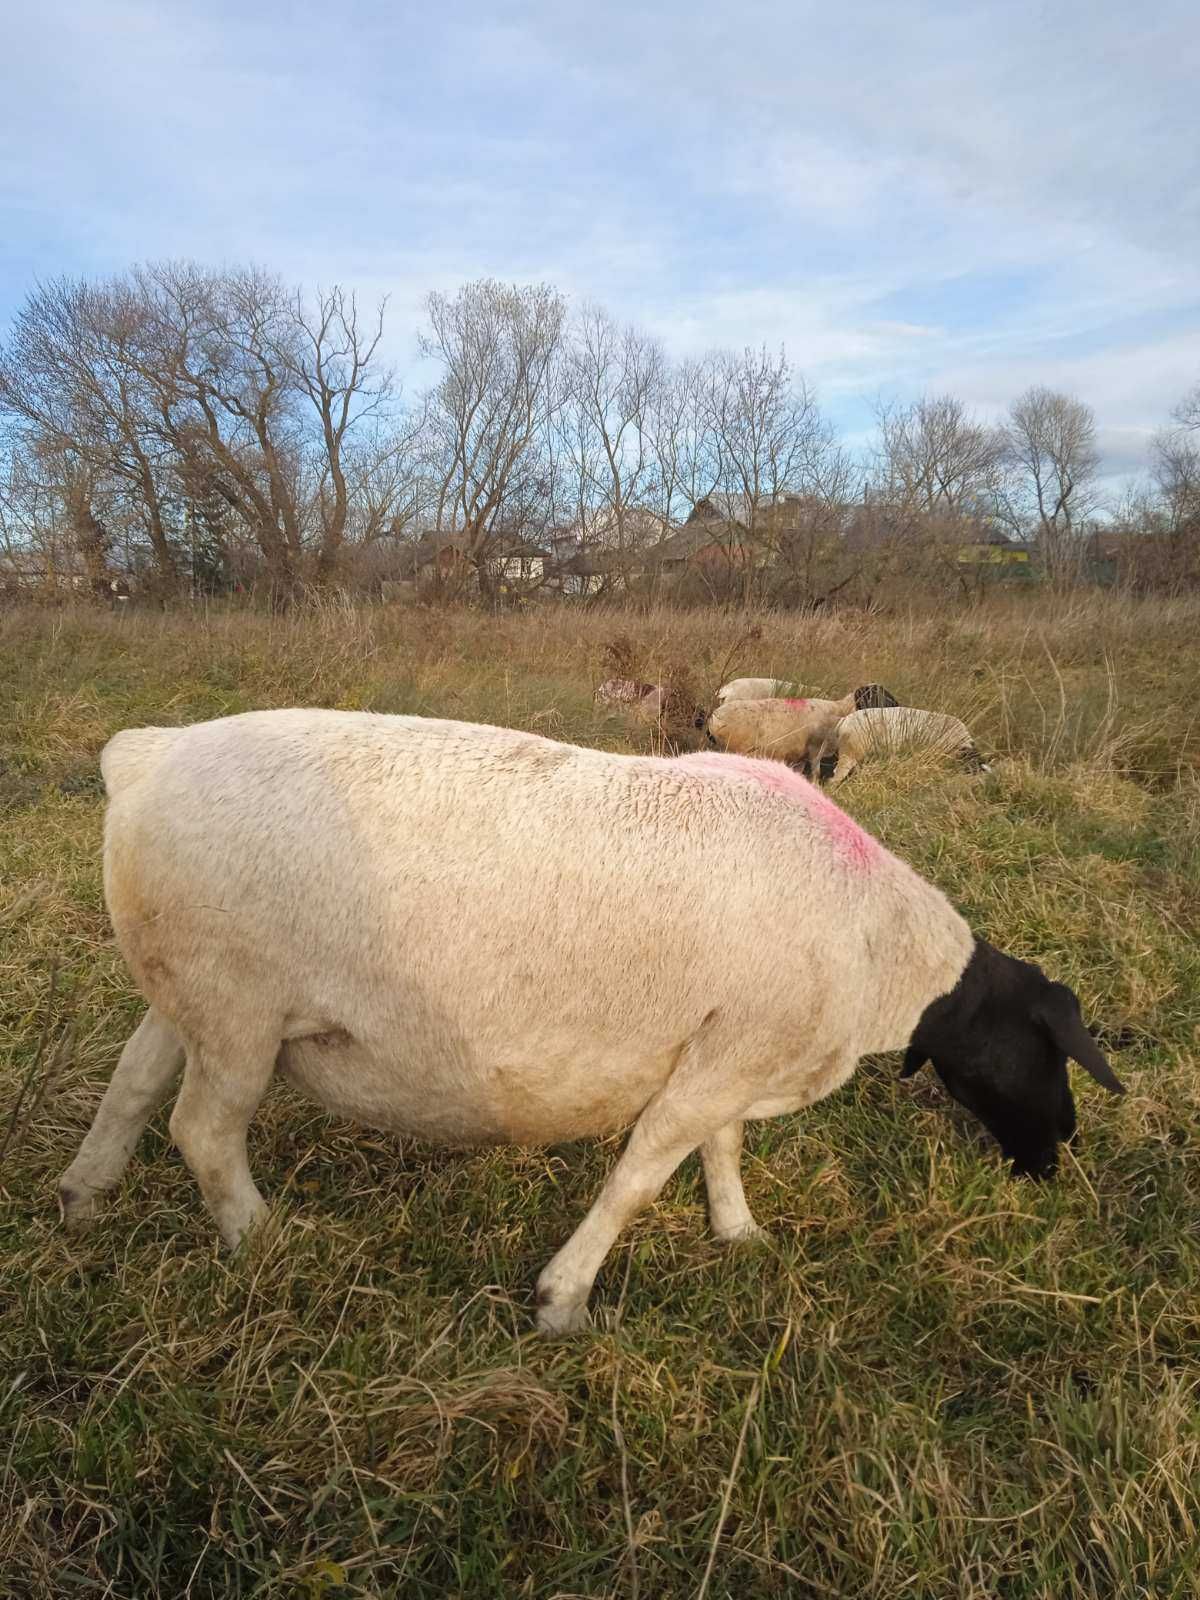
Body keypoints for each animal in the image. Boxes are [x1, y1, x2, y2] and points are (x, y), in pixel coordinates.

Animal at [710, 678, 896, 777]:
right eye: (876, 695)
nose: (896, 705)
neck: (839, 711)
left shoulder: (800, 754)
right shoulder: (815, 749)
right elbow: (816, 772)